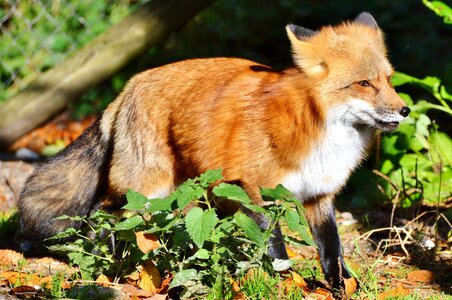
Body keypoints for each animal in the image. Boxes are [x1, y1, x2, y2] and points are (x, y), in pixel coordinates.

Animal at [19, 12, 410, 292]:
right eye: (363, 83)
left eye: (390, 79)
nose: (405, 110)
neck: (314, 126)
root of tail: (130, 83)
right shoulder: (252, 189)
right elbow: (273, 248)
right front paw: (284, 285)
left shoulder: (318, 195)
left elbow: (332, 251)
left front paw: (344, 287)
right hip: (146, 189)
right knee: (105, 214)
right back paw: (112, 265)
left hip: (192, 193)